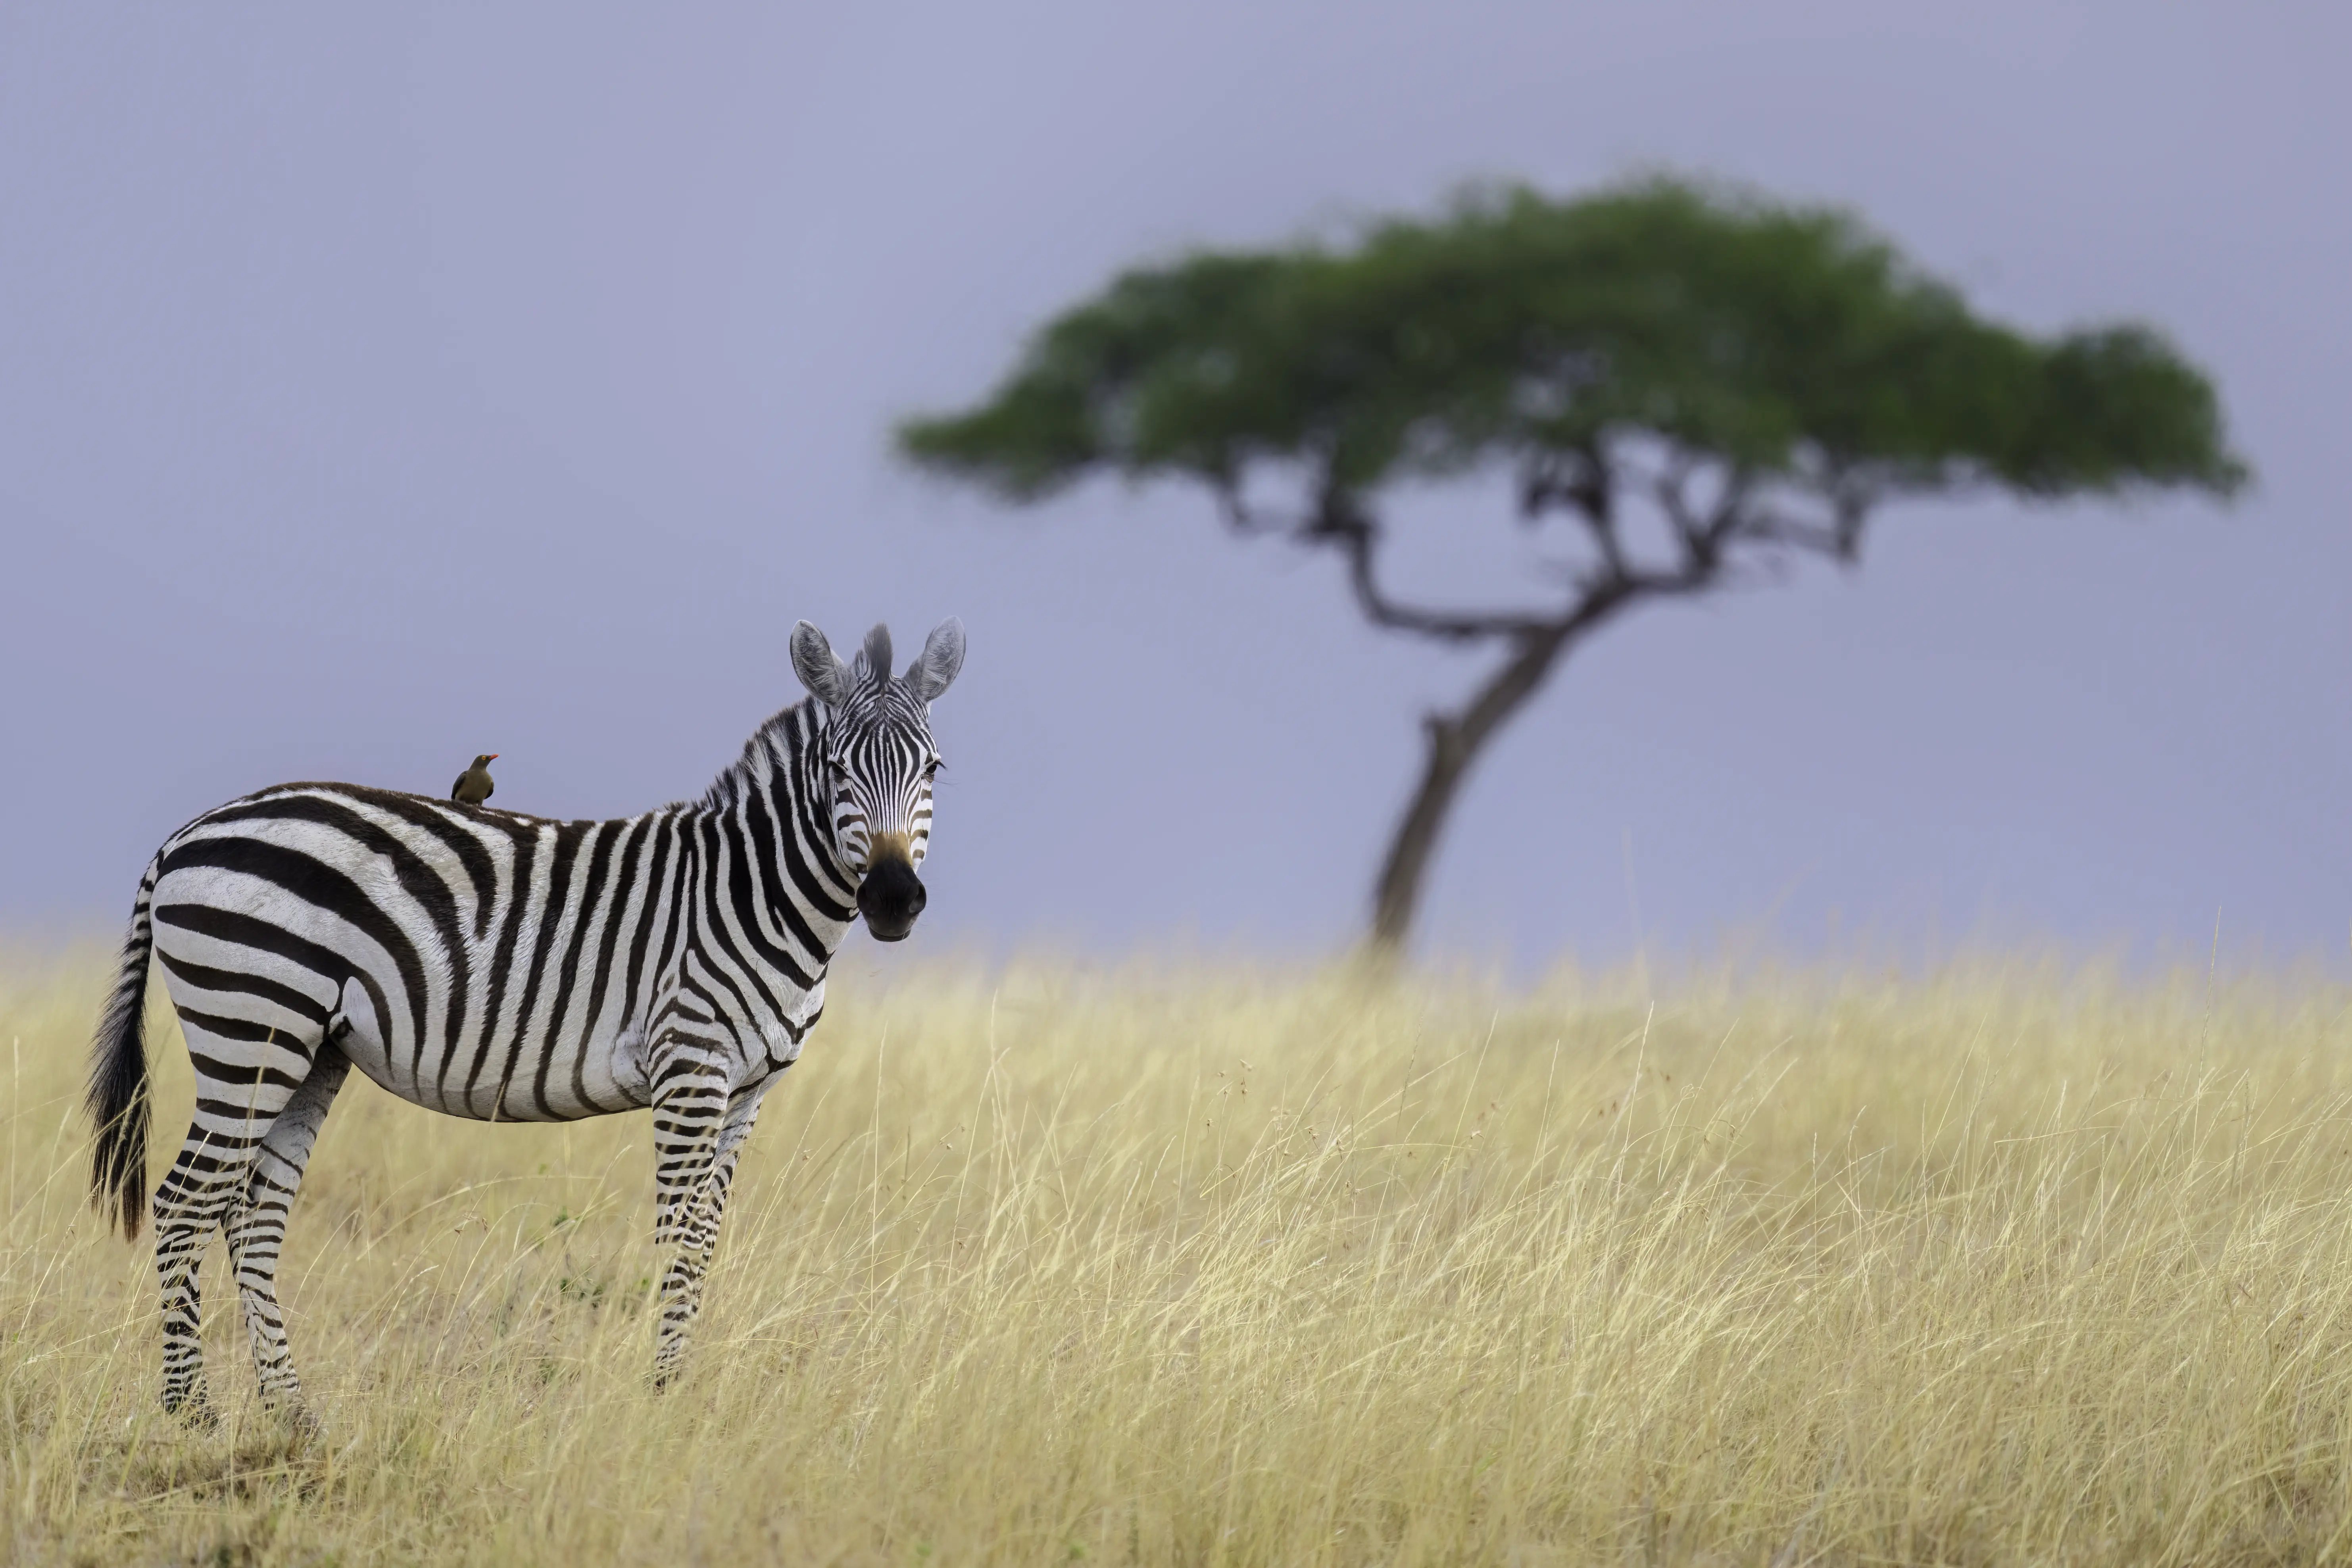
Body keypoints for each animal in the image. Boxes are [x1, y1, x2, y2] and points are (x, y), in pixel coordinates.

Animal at [84, 618, 963, 1423]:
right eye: (837, 770)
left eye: (933, 768)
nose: (892, 899)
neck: (752, 893)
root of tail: (185, 836)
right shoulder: (690, 1065)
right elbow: (678, 1235)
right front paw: (661, 1395)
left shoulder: (749, 1090)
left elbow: (706, 1238)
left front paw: (680, 1388)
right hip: (250, 1019)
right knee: (185, 1202)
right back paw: (191, 1410)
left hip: (308, 1047)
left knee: (251, 1212)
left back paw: (291, 1411)